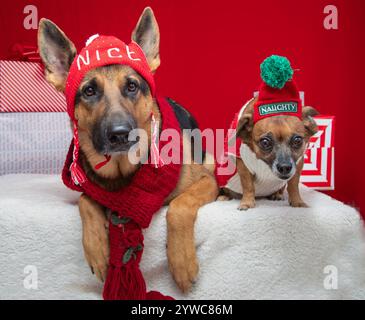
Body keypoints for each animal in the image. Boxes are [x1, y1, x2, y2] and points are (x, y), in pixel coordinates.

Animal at [38, 7, 218, 292]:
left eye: (132, 86)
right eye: (89, 91)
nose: (120, 134)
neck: (123, 171)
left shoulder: (205, 181)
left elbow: (179, 205)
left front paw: (182, 262)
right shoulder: (91, 189)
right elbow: (85, 200)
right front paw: (98, 250)